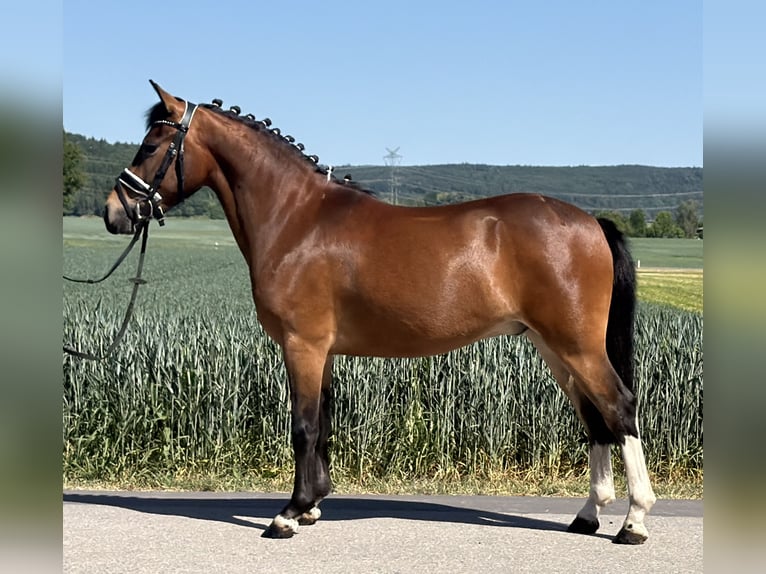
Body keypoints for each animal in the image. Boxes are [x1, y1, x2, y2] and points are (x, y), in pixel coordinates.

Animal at [103, 80, 656, 543]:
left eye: (151, 145)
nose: (113, 212)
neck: (298, 219)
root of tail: (590, 221)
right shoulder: (322, 350)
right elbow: (324, 422)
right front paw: (312, 506)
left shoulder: (302, 345)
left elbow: (303, 426)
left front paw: (288, 514)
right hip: (555, 348)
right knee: (594, 416)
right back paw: (588, 515)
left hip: (577, 345)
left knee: (619, 407)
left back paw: (634, 521)